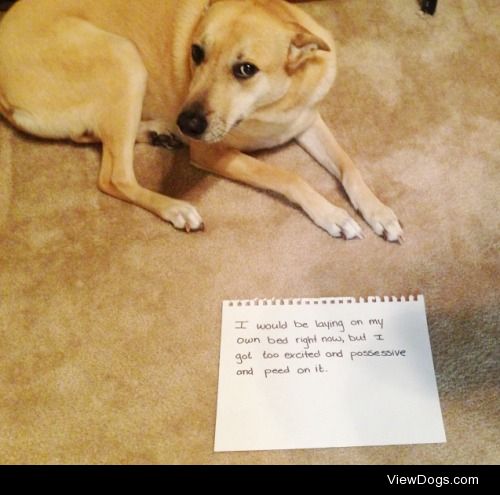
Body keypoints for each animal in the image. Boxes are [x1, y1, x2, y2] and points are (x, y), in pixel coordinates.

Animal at [0, 0, 402, 242]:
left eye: (246, 69)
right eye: (196, 52)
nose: (187, 124)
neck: (273, 103)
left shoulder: (306, 121)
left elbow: (349, 166)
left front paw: (378, 210)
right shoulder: (211, 153)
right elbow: (288, 176)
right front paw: (331, 213)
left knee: (89, 136)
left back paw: (159, 132)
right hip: (124, 57)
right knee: (114, 177)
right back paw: (177, 207)